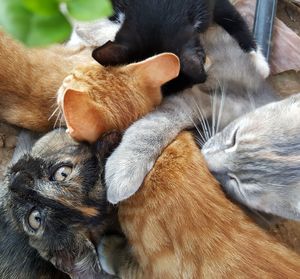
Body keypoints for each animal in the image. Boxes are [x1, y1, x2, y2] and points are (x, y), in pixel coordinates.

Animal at [104, 25, 278, 205]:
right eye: (233, 141)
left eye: (235, 182)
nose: (208, 159)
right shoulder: (195, 100)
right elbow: (153, 128)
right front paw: (125, 168)